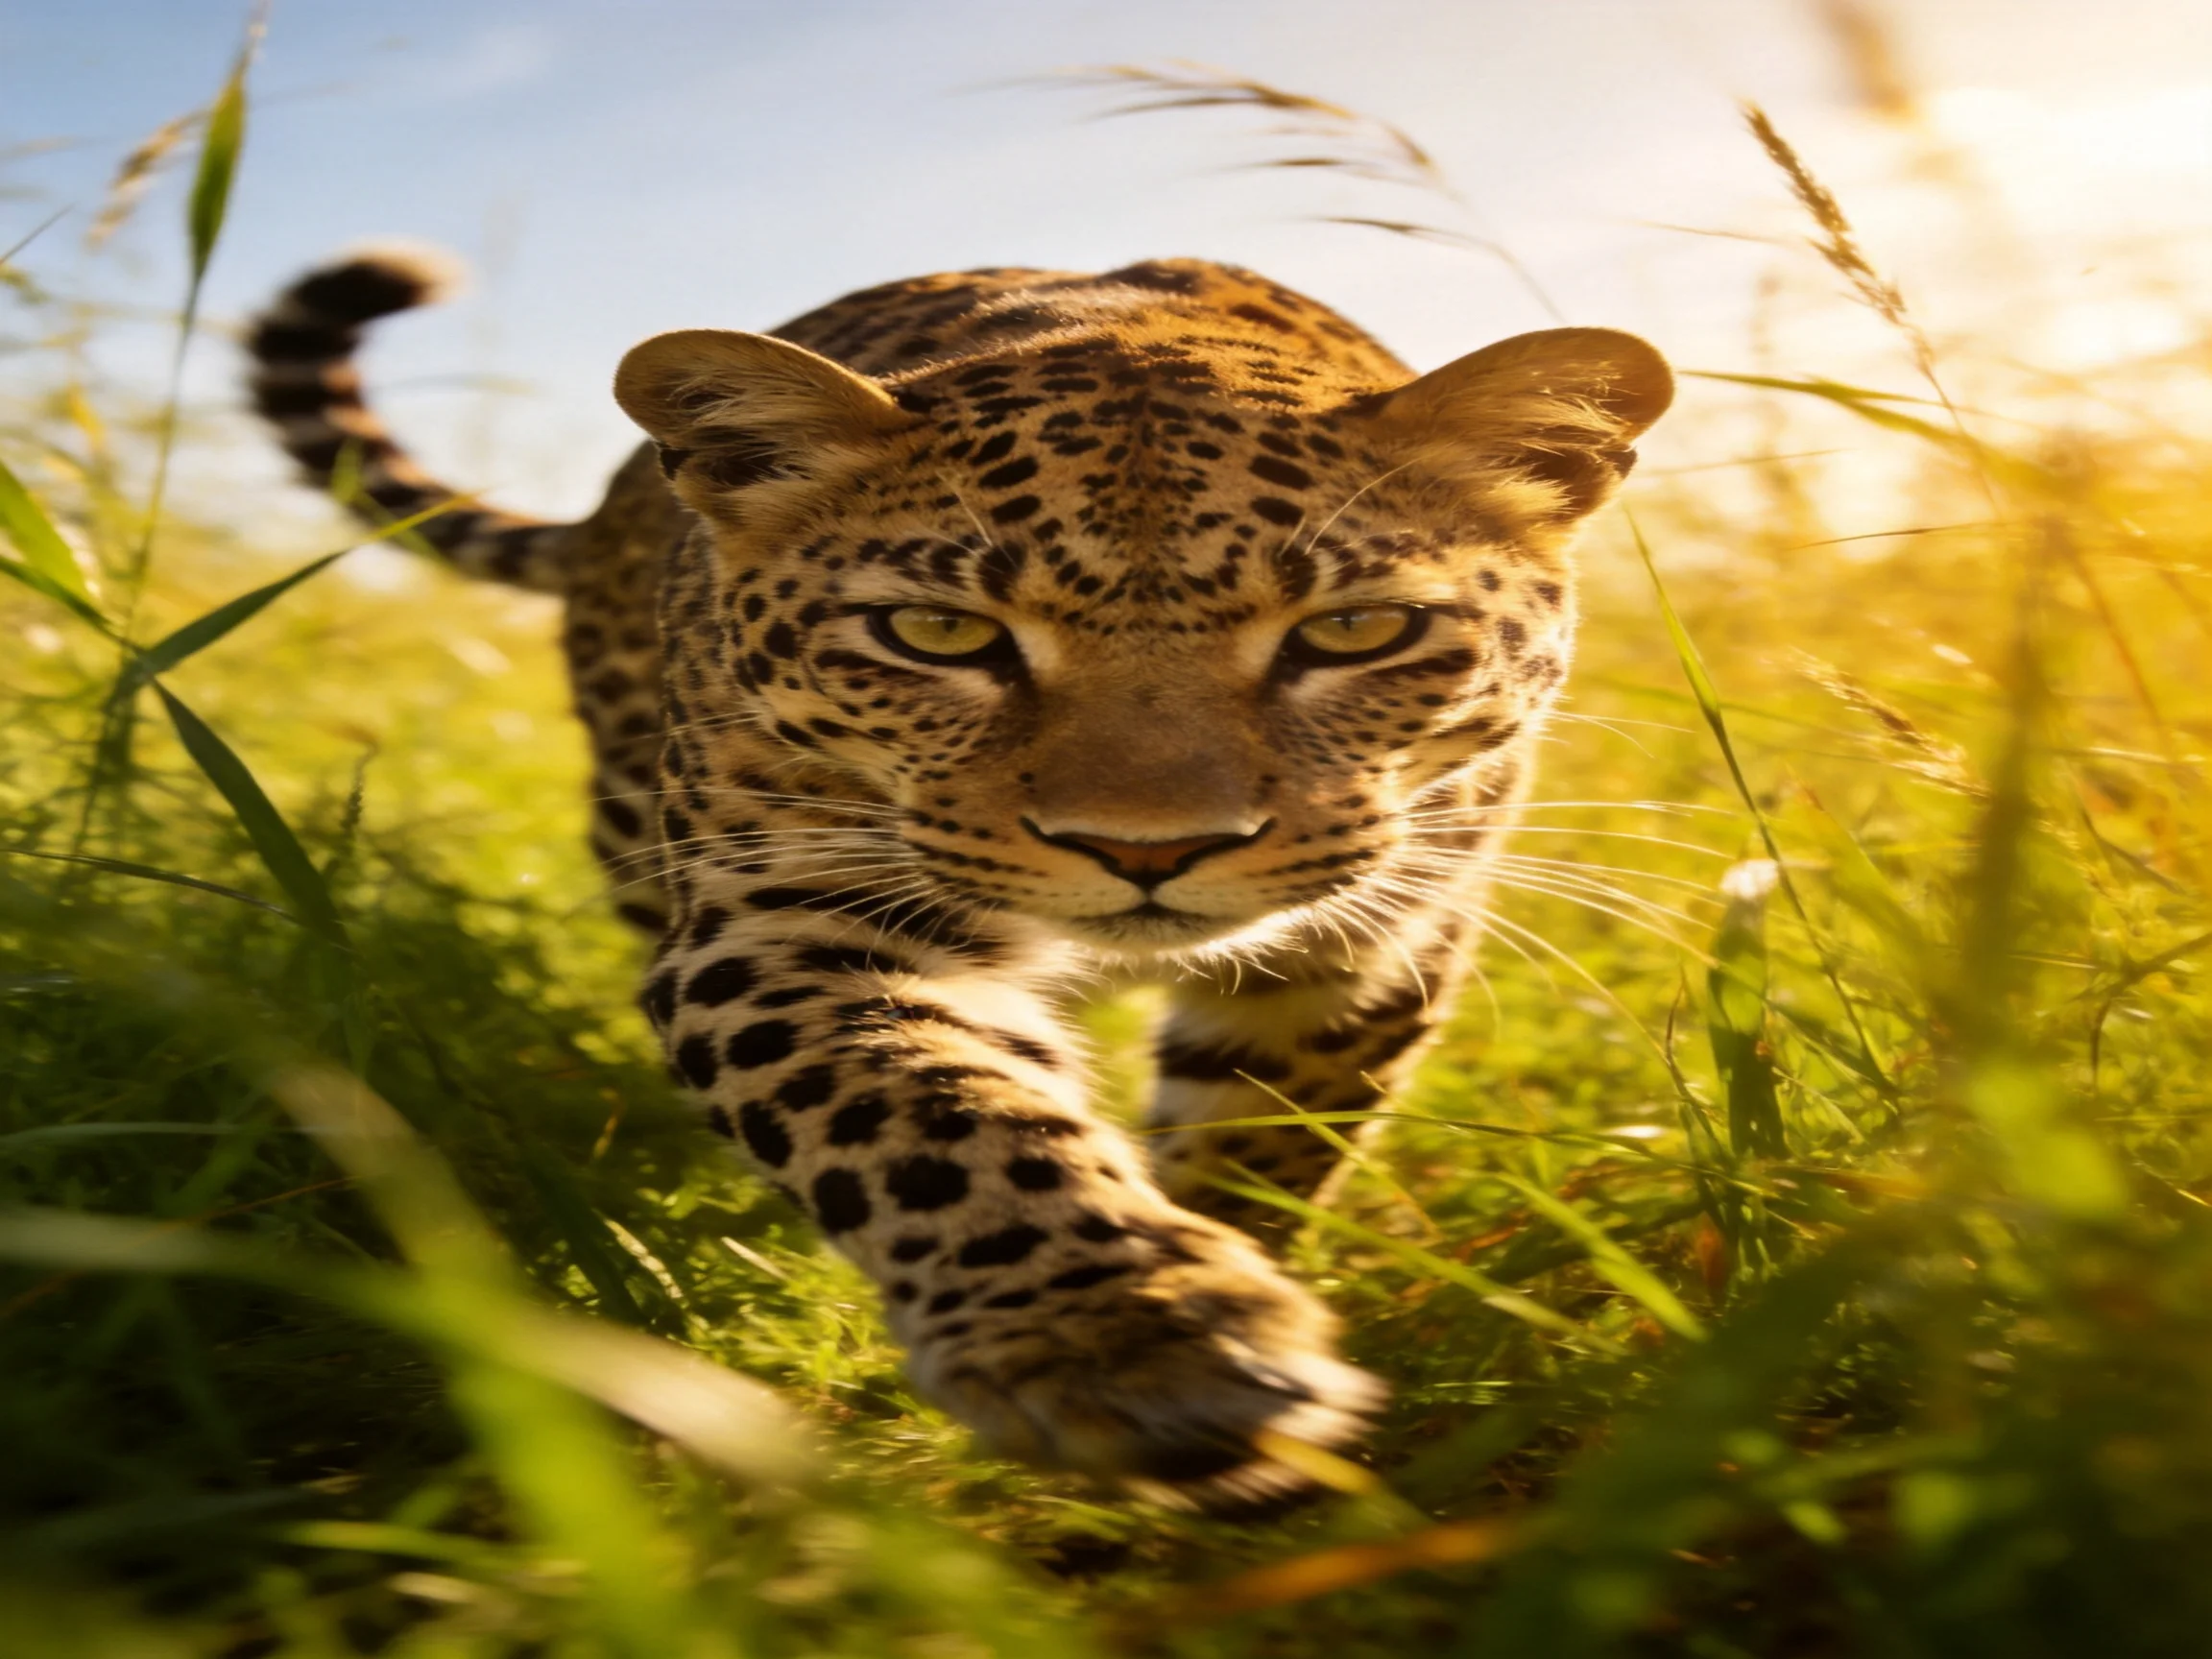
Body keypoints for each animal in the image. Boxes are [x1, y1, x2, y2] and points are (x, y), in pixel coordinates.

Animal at [246, 248, 1671, 1510]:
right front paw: (1127, 1339)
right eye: (936, 634)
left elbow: (1265, 1142)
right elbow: (933, 1117)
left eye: (1357, 629)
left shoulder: (1373, 935)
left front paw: (1231, 1303)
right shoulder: (787, 923)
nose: (1146, 852)